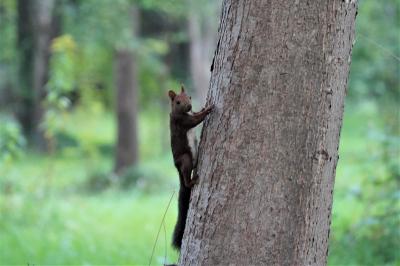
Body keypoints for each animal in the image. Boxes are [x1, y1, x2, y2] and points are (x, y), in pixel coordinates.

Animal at [168, 84, 214, 249]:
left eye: (189, 97)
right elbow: (195, 121)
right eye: (177, 102)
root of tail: (177, 169)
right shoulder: (181, 122)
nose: (189, 106)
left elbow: (196, 115)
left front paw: (202, 108)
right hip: (185, 159)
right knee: (187, 178)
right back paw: (192, 181)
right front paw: (208, 110)